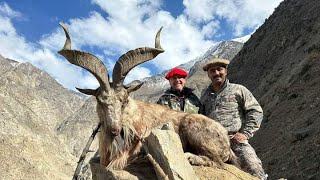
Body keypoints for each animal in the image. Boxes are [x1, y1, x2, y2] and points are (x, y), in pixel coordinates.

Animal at [57, 22, 238, 170]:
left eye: (124, 100)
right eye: (100, 100)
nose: (115, 129)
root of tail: (226, 141)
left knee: (218, 162)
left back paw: (190, 157)